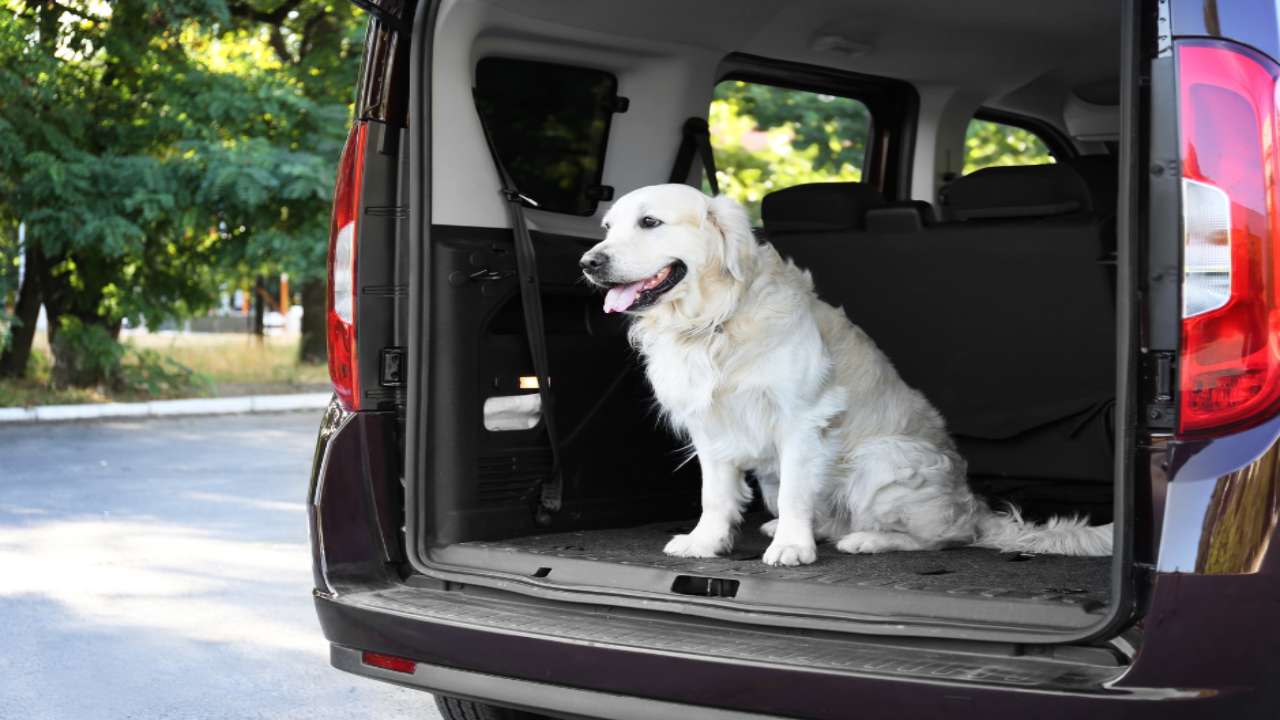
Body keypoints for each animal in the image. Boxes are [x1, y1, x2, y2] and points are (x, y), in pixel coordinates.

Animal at [581, 181, 1111, 563]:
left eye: (650, 222)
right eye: (607, 227)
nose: (589, 261)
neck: (715, 321)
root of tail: (974, 507)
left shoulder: (801, 418)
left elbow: (797, 492)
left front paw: (792, 548)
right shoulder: (710, 425)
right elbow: (715, 494)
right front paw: (706, 542)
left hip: (883, 458)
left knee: (942, 537)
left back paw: (868, 539)